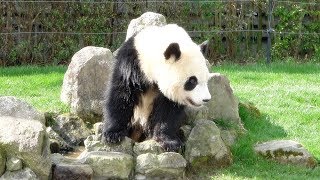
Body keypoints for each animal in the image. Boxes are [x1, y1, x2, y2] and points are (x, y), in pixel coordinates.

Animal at [102, 23, 212, 152]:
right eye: (192, 81)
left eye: (206, 79)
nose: (206, 99)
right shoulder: (132, 62)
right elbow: (122, 94)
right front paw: (113, 134)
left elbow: (168, 110)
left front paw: (170, 142)